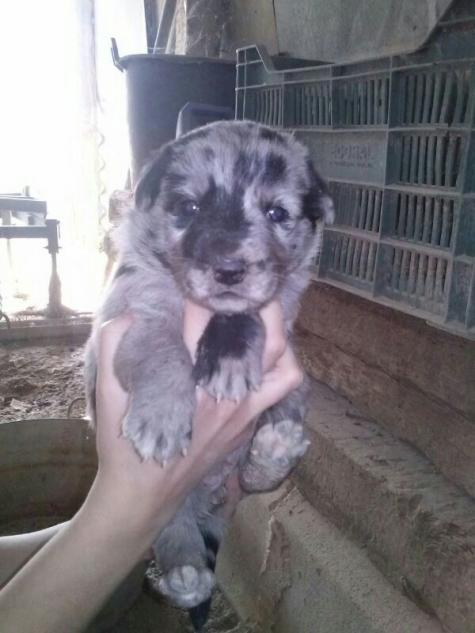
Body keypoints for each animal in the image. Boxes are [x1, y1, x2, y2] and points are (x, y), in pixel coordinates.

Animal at [85, 119, 336, 628]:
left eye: (277, 212)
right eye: (189, 207)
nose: (229, 269)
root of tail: (208, 500)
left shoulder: (280, 305)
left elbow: (247, 311)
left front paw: (230, 355)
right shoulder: (133, 307)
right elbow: (163, 348)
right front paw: (162, 417)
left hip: (273, 427)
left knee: (259, 478)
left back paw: (274, 450)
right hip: (165, 507)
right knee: (174, 536)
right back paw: (185, 577)